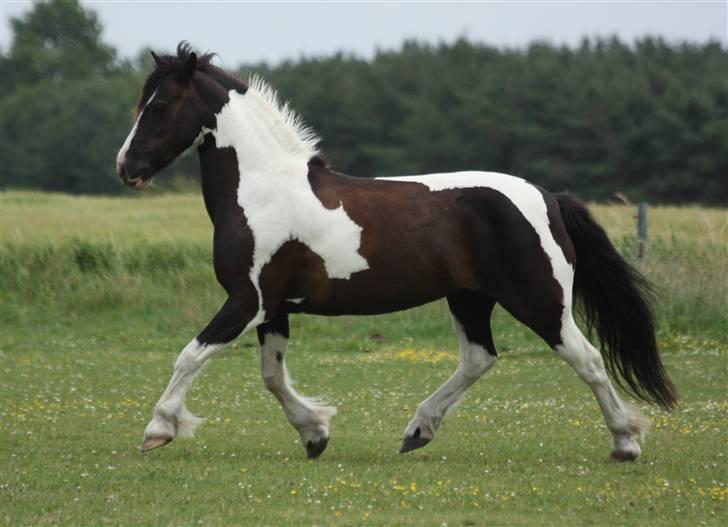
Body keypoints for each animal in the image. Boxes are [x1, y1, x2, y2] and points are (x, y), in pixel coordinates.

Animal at [115, 44, 676, 462]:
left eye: (159, 106)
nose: (126, 167)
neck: (263, 191)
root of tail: (547, 197)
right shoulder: (272, 308)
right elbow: (272, 376)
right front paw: (314, 433)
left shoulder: (245, 301)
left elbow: (191, 355)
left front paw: (158, 429)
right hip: (470, 298)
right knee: (479, 358)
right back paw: (417, 430)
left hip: (540, 301)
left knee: (588, 359)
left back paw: (625, 443)